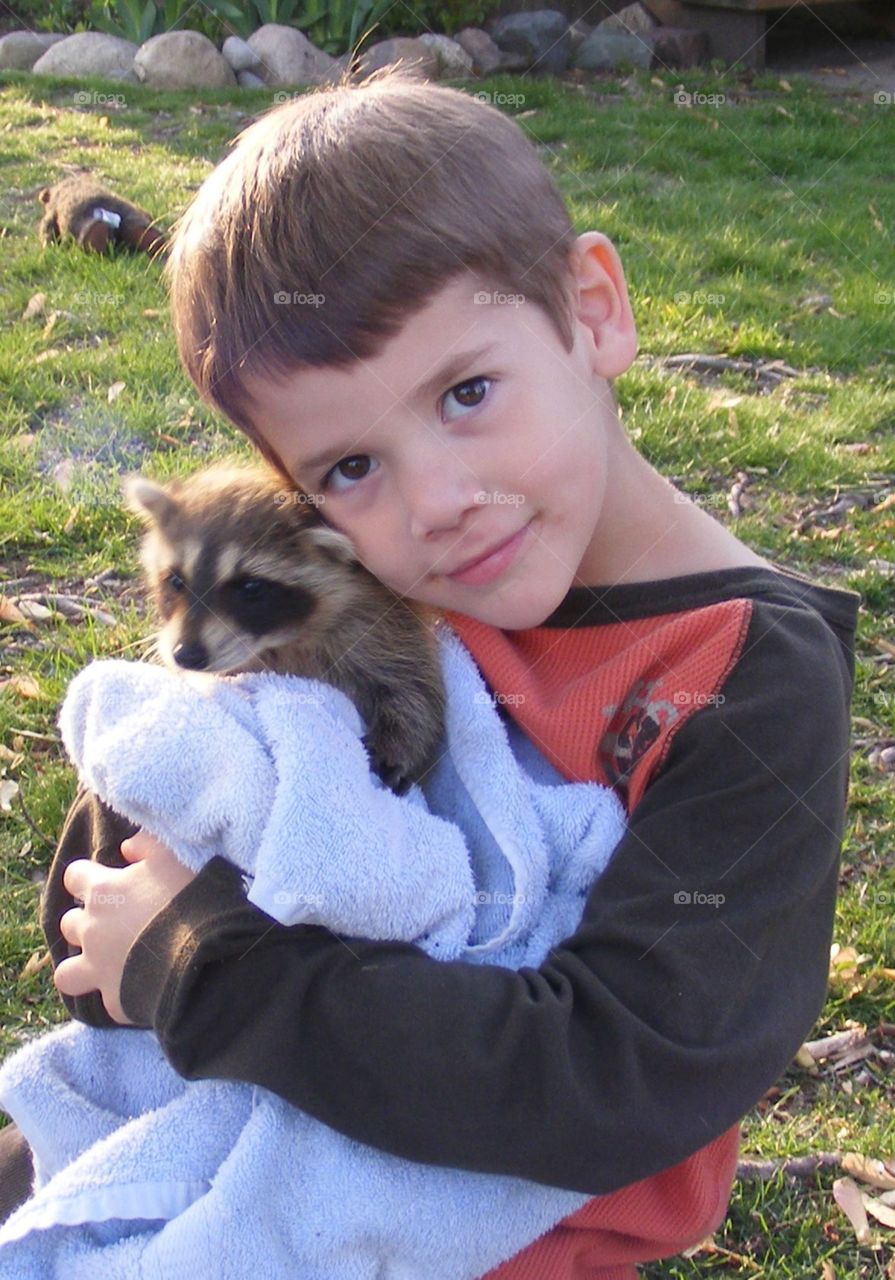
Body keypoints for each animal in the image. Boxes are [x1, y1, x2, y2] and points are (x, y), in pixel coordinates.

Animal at [124, 464, 446, 795]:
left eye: (251, 588)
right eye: (176, 581)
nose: (185, 655)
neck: (279, 641)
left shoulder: (381, 623)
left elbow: (411, 684)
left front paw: (401, 745)